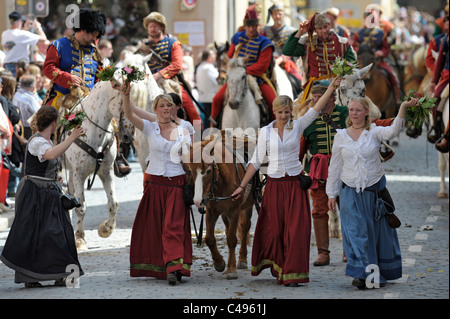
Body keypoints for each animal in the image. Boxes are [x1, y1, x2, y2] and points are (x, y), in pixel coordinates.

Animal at [61, 79, 135, 250]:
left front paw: (106, 229)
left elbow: (113, 203)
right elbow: (81, 207)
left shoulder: (106, 172)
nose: (129, 136)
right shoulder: (79, 174)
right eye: (123, 101)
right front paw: (80, 239)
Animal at [181, 130, 255, 280]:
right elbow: (209, 238)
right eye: (191, 171)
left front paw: (231, 270)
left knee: (244, 228)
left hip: (246, 208)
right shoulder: (211, 211)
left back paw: (242, 260)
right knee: (228, 229)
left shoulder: (234, 211)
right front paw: (219, 263)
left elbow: (232, 239)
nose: (198, 200)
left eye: (209, 171)